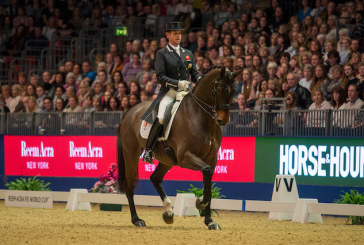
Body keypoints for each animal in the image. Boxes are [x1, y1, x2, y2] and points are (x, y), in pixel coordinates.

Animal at [117, 66, 242, 230]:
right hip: (131, 154)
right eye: (219, 89)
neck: (202, 118)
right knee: (130, 186)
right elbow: (206, 172)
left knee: (155, 178)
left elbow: (208, 183)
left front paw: (210, 221)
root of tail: (130, 111)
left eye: (233, 90)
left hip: (167, 159)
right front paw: (199, 203)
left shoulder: (212, 158)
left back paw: (169, 212)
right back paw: (137, 220)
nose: (223, 120)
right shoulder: (185, 157)